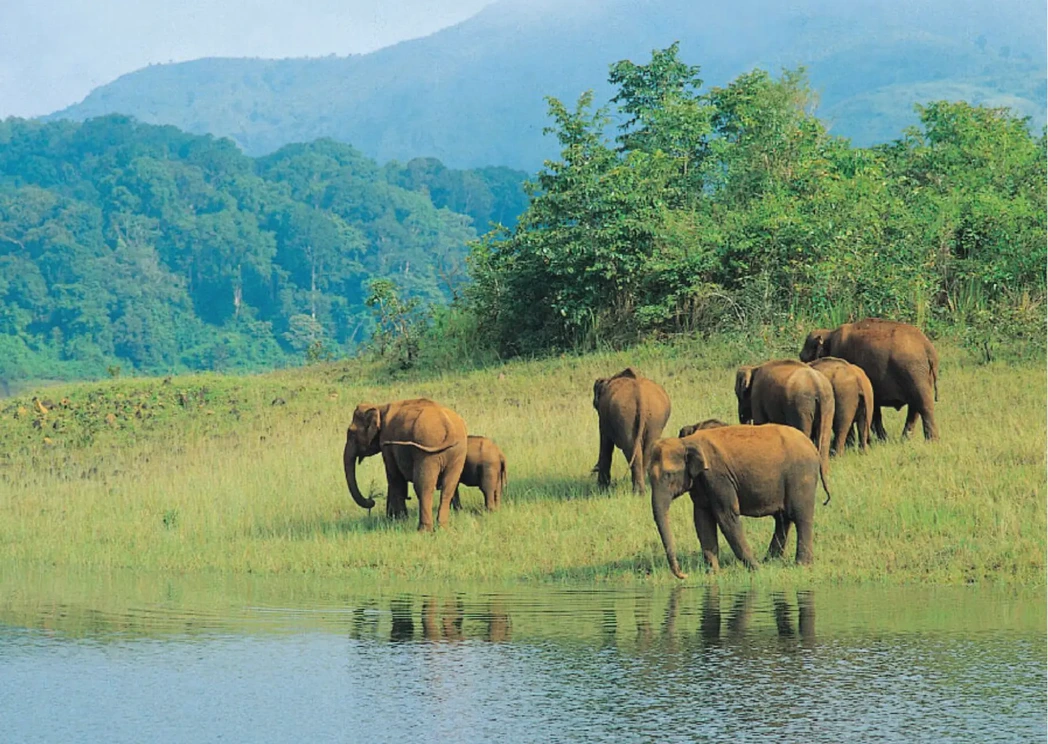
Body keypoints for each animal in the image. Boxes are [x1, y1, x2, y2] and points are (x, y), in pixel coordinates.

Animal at [343, 400, 467, 532]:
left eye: (351, 432)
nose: (372, 500)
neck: (380, 407)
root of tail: (448, 427)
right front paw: (394, 519)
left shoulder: (386, 443)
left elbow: (394, 477)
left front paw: (400, 521)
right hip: (458, 452)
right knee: (449, 487)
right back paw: (443, 528)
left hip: (427, 452)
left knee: (423, 487)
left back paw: (423, 531)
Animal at [641, 425, 830, 578]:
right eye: (649, 475)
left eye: (669, 475)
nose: (683, 575)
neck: (686, 442)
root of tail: (814, 449)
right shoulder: (701, 483)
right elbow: (702, 520)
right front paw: (713, 574)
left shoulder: (718, 477)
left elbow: (726, 516)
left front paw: (756, 570)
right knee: (783, 518)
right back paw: (770, 561)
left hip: (801, 475)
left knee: (800, 516)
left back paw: (801, 565)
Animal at [800, 318, 943, 442]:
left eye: (803, 357)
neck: (829, 334)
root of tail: (928, 348)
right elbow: (875, 408)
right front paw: (883, 440)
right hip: (920, 375)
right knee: (914, 408)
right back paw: (905, 440)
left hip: (914, 372)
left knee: (924, 405)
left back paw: (931, 441)